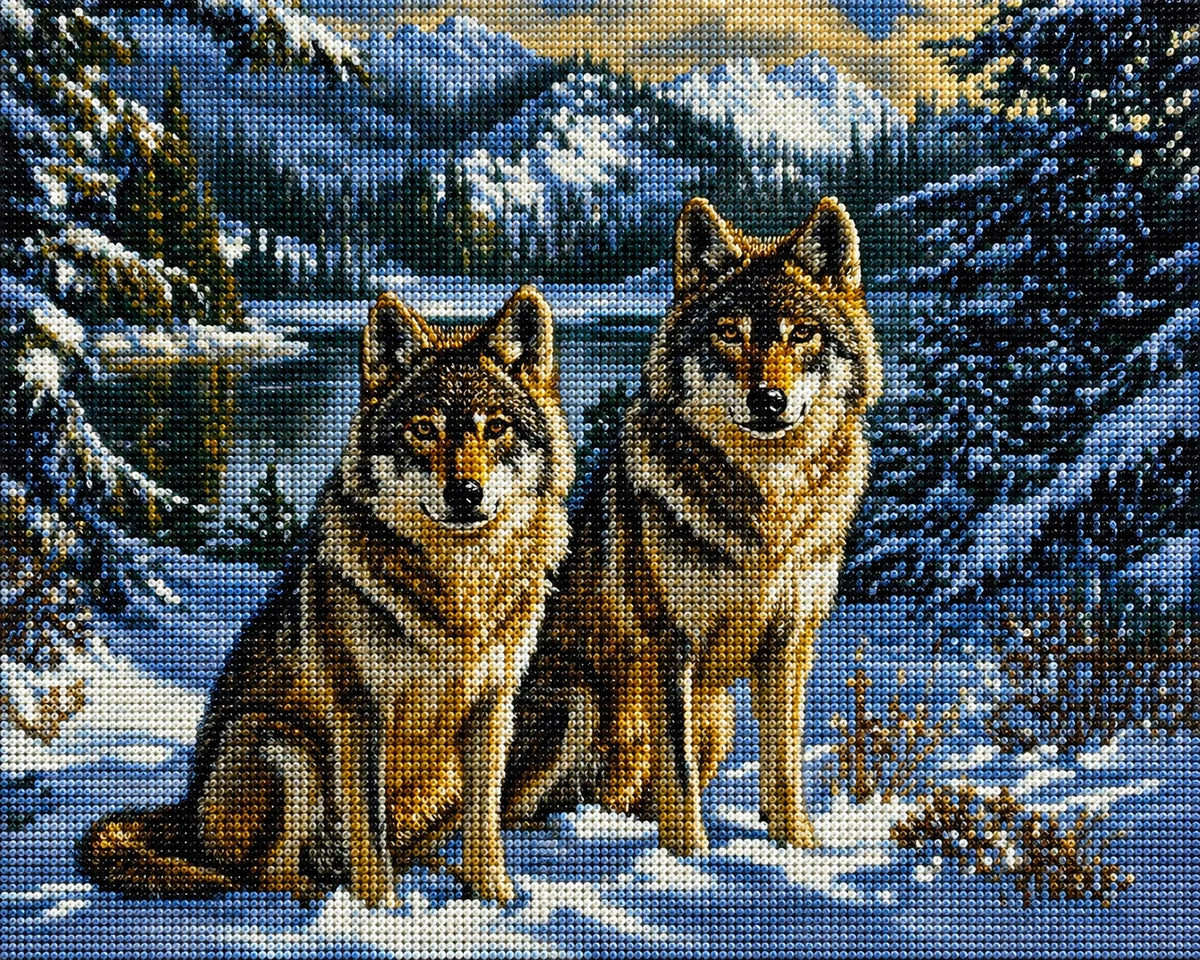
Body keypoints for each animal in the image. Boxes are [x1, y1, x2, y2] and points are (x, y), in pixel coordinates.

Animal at [79, 286, 575, 906]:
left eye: (497, 428)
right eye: (424, 430)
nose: (466, 493)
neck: (458, 589)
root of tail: (188, 816)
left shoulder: (493, 707)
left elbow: (483, 821)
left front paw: (493, 899)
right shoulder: (360, 710)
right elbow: (368, 828)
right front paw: (380, 910)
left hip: (426, 783)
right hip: (283, 748)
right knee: (261, 873)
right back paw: (317, 897)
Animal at [504, 197, 882, 856]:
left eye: (802, 333)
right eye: (730, 333)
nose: (769, 401)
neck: (765, 509)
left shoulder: (789, 643)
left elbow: (782, 761)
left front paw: (796, 846)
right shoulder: (668, 642)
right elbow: (675, 769)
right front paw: (688, 857)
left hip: (718, 716)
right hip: (577, 700)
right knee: (516, 811)